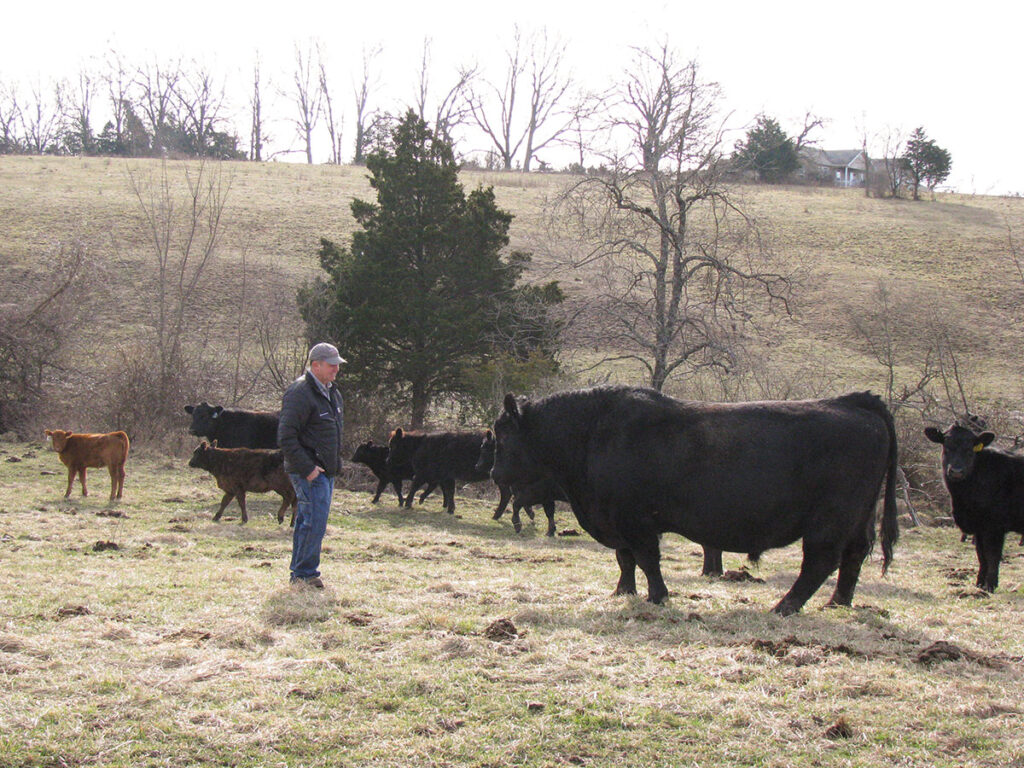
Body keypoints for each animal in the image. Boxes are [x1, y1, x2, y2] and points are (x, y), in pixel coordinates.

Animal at [491, 387, 901, 618]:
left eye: (502, 435)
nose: (494, 473)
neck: (592, 432)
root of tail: (855, 403)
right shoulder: (614, 520)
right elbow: (625, 560)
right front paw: (622, 592)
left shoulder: (635, 521)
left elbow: (646, 559)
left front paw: (657, 597)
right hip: (859, 518)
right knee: (853, 557)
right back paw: (838, 603)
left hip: (829, 522)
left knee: (820, 562)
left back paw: (783, 608)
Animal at [925, 423, 1019, 593]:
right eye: (946, 447)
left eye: (970, 450)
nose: (956, 471)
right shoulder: (979, 527)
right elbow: (981, 556)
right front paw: (979, 584)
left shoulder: (994, 527)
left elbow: (993, 556)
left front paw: (991, 586)